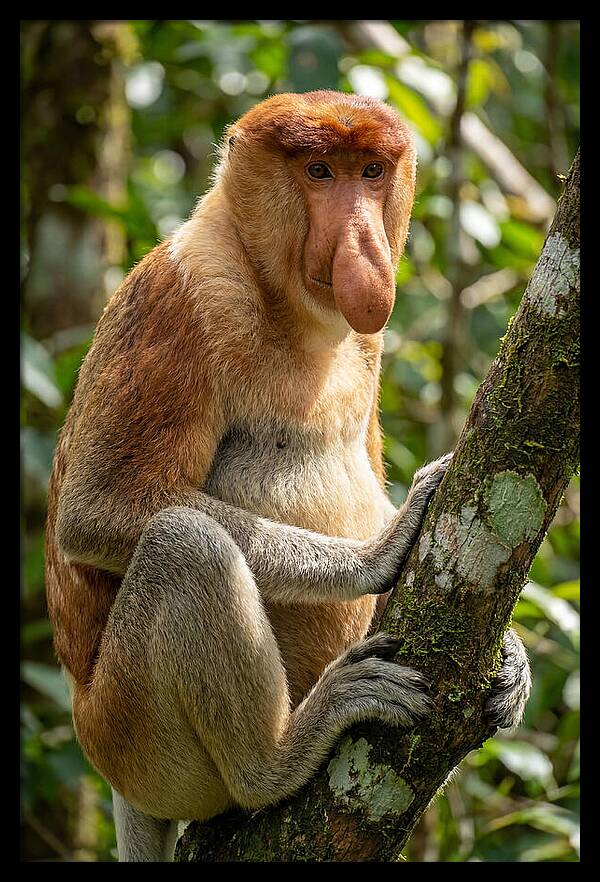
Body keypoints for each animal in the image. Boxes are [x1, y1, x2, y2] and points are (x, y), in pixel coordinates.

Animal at [44, 91, 531, 862]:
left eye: (370, 171)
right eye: (319, 172)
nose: (363, 244)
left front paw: (512, 658)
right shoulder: (181, 298)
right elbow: (98, 509)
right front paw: (380, 551)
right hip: (131, 737)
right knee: (185, 545)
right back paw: (279, 757)